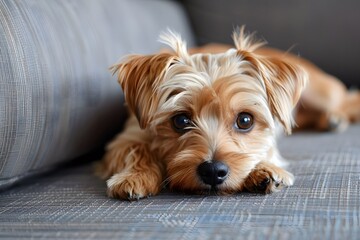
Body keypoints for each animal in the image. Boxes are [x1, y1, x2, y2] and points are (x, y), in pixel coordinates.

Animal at [96, 27, 360, 201]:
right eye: (180, 120)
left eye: (245, 120)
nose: (213, 171)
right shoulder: (127, 136)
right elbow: (136, 149)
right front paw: (135, 176)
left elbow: (266, 149)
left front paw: (264, 168)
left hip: (321, 92)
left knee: (348, 99)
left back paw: (335, 117)